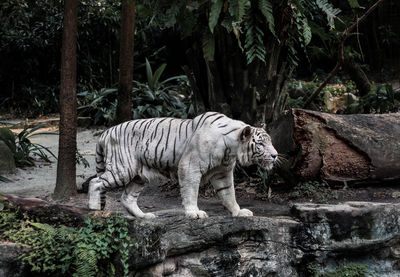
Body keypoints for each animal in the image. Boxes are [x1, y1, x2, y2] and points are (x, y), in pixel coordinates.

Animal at [88, 111, 278, 218]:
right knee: (95, 182)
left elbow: (229, 194)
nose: (275, 155)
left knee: (127, 197)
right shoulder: (190, 166)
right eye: (261, 144)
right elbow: (191, 191)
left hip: (139, 176)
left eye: (270, 141)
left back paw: (145, 216)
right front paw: (194, 213)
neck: (231, 148)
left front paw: (238, 212)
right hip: (122, 169)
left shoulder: (222, 173)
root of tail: (106, 132)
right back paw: (94, 209)